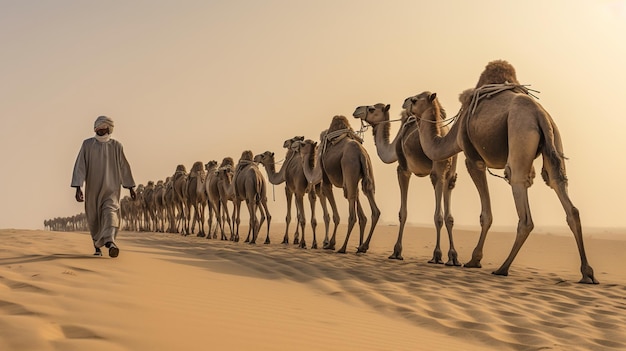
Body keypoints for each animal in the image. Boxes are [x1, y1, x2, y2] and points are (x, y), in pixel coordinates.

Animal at [294, 117, 378, 254]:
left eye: (303, 144)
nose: (294, 145)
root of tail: (360, 152)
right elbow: (362, 214)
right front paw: (358, 244)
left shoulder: (325, 179)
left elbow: (336, 216)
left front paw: (330, 244)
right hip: (366, 170)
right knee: (370, 201)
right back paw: (363, 246)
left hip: (349, 165)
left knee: (352, 214)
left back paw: (343, 247)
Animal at [352, 103, 458, 266]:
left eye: (371, 109)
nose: (357, 109)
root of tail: (444, 131)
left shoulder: (403, 169)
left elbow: (403, 213)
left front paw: (396, 252)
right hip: (452, 169)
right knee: (449, 211)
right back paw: (453, 257)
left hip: (437, 166)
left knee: (438, 208)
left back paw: (437, 255)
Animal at [404, 60, 596, 284]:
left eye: (415, 99)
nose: (405, 101)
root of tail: (540, 114)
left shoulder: (473, 159)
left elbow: (485, 214)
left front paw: (474, 259)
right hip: (555, 140)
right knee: (563, 193)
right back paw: (587, 273)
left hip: (519, 137)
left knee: (523, 205)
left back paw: (502, 267)